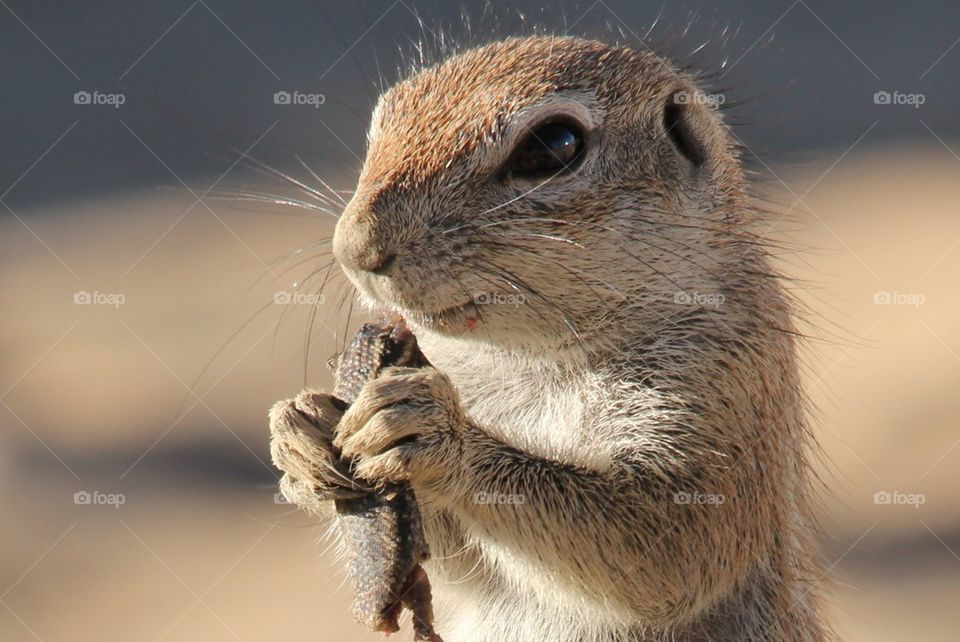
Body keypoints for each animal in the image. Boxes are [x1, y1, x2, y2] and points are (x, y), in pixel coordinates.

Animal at [269, 36, 830, 641]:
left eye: (552, 145)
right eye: (384, 119)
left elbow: (670, 549)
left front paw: (433, 431)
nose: (354, 250)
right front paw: (299, 430)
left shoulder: (729, 385)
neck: (526, 360)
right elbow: (459, 566)